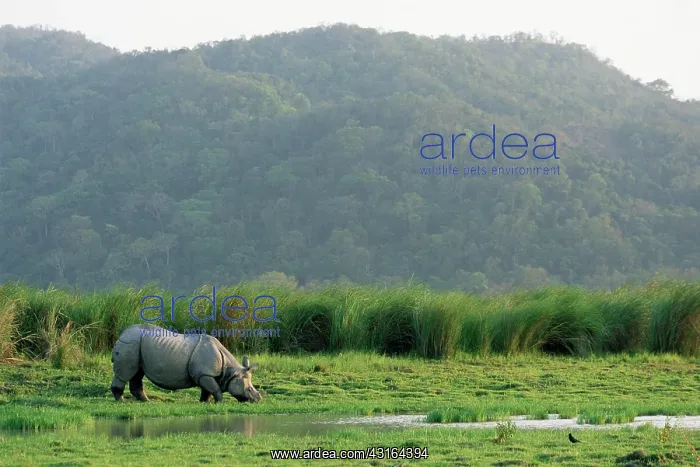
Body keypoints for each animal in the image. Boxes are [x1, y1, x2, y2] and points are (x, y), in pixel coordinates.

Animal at [110, 324, 263, 403]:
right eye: (249, 389)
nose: (258, 400)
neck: (230, 371)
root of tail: (122, 334)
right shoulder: (204, 374)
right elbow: (215, 389)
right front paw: (219, 402)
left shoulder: (204, 374)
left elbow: (207, 390)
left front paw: (204, 402)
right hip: (130, 343)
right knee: (125, 374)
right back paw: (121, 400)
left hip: (137, 346)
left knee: (137, 373)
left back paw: (146, 401)